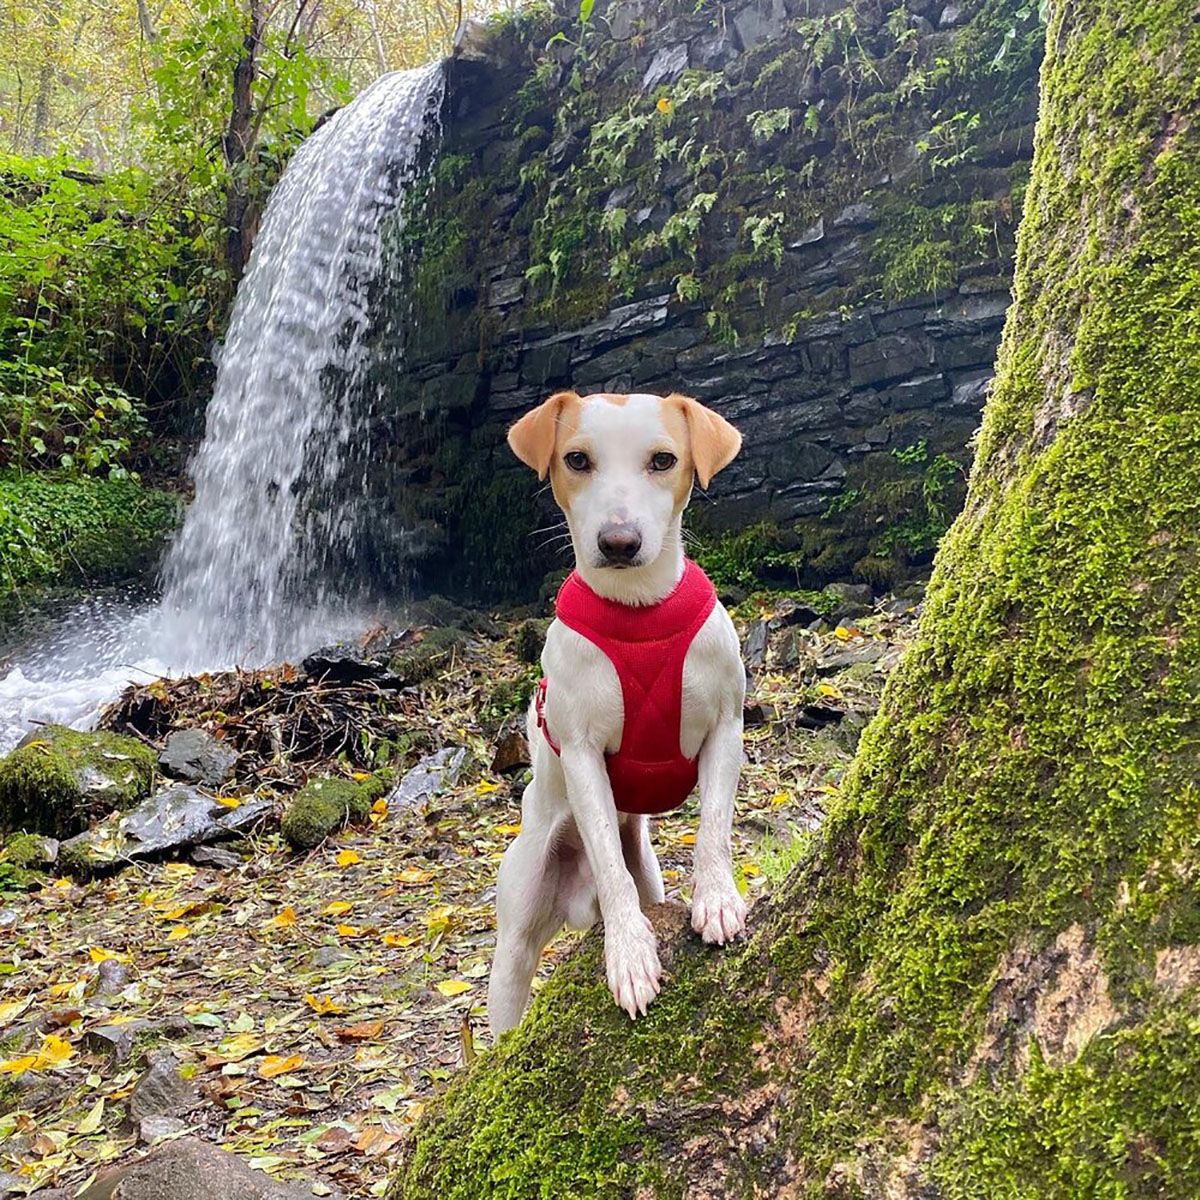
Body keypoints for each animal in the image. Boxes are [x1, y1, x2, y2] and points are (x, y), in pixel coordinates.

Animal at [487, 391, 748, 1032]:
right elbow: (608, 858)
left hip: (648, 870)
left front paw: (716, 896)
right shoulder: (580, 753)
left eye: (663, 460)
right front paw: (629, 952)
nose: (619, 541)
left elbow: (714, 827)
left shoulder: (727, 726)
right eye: (577, 459)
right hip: (518, 923)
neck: (639, 614)